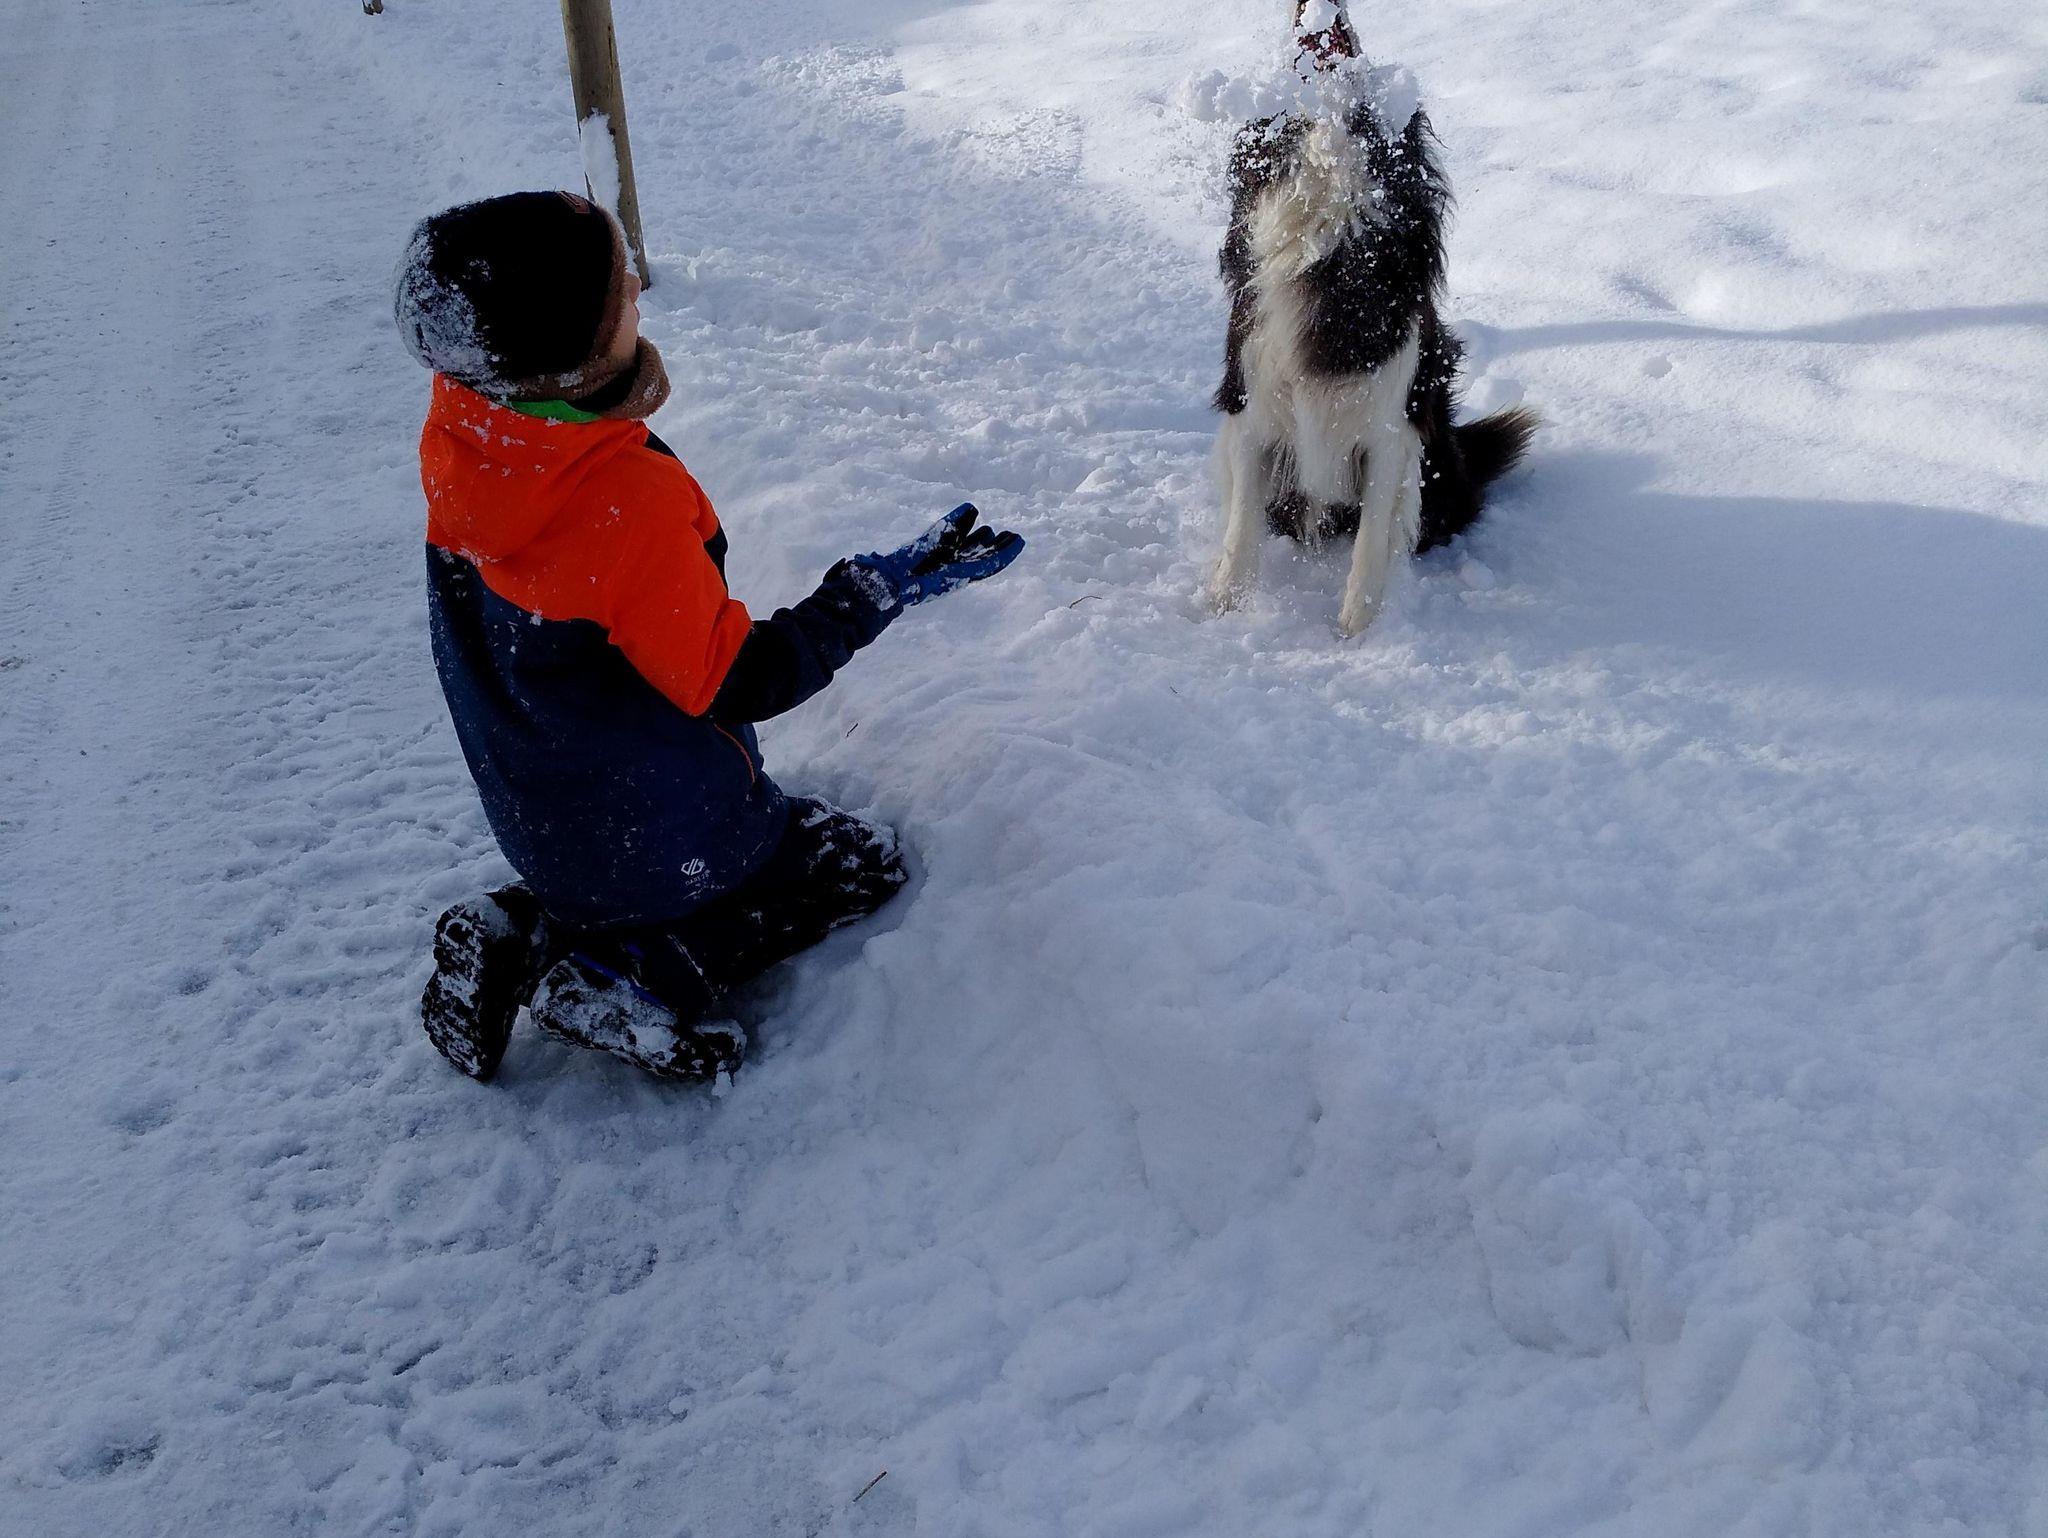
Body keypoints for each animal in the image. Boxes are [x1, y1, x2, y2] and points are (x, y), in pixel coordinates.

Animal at [1210, 1, 1536, 635]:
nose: (1320, 7)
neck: (1327, 238)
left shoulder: (1391, 433)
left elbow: (1369, 544)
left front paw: (1355, 633)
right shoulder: (1251, 408)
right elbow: (1239, 533)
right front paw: (1218, 610)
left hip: (1435, 461)